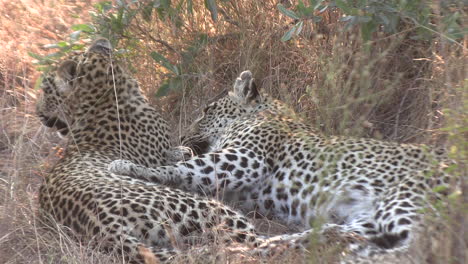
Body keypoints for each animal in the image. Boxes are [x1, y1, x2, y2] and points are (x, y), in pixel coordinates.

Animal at [36, 40, 316, 262]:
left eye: (45, 89)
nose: (38, 113)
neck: (99, 99)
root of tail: (105, 228)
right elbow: (177, 160)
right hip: (209, 208)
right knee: (255, 243)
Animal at [108, 69, 456, 256]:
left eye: (207, 111)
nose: (182, 133)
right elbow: (186, 165)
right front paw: (172, 151)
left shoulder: (244, 159)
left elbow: (181, 169)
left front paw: (127, 166)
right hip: (368, 218)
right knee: (340, 235)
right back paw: (270, 244)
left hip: (404, 200)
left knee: (415, 248)